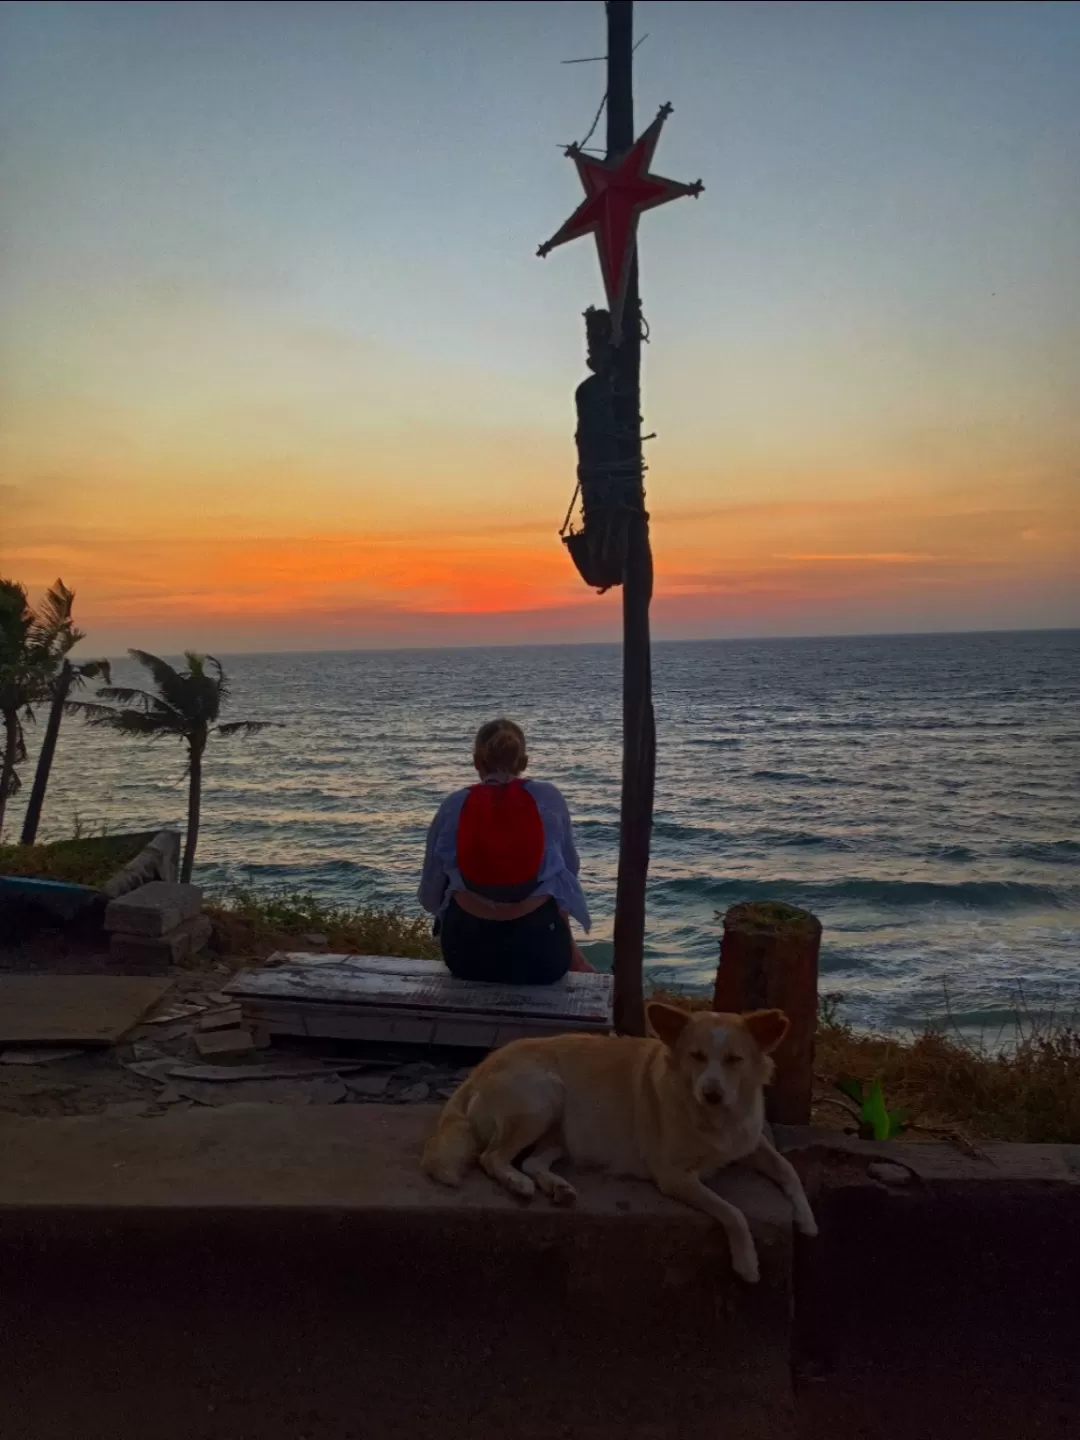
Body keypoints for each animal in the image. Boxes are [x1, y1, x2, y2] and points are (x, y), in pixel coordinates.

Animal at [426, 1002, 817, 1284]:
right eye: (697, 1056)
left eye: (734, 1060)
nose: (712, 1093)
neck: (715, 1120)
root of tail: (480, 1069)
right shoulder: (674, 1176)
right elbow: (732, 1212)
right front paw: (747, 1262)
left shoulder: (748, 1141)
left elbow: (788, 1168)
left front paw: (806, 1218)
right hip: (544, 1095)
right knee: (492, 1157)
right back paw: (517, 1183)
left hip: (563, 1128)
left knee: (532, 1161)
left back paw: (558, 1188)